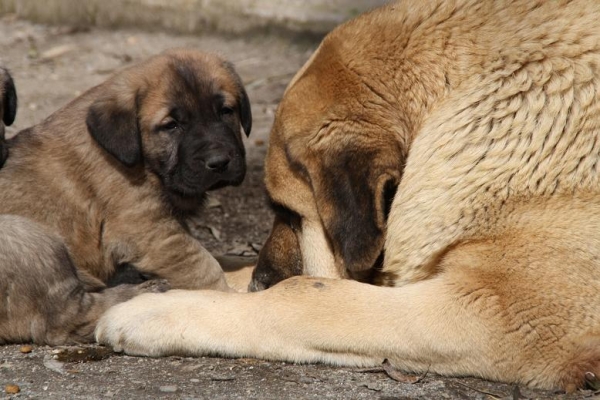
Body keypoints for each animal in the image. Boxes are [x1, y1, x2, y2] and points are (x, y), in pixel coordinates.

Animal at [0, 49, 251, 344]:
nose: (219, 162)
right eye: (172, 126)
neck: (142, 162)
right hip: (29, 235)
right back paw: (139, 292)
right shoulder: (151, 231)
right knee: (66, 319)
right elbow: (203, 265)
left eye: (226, 111)